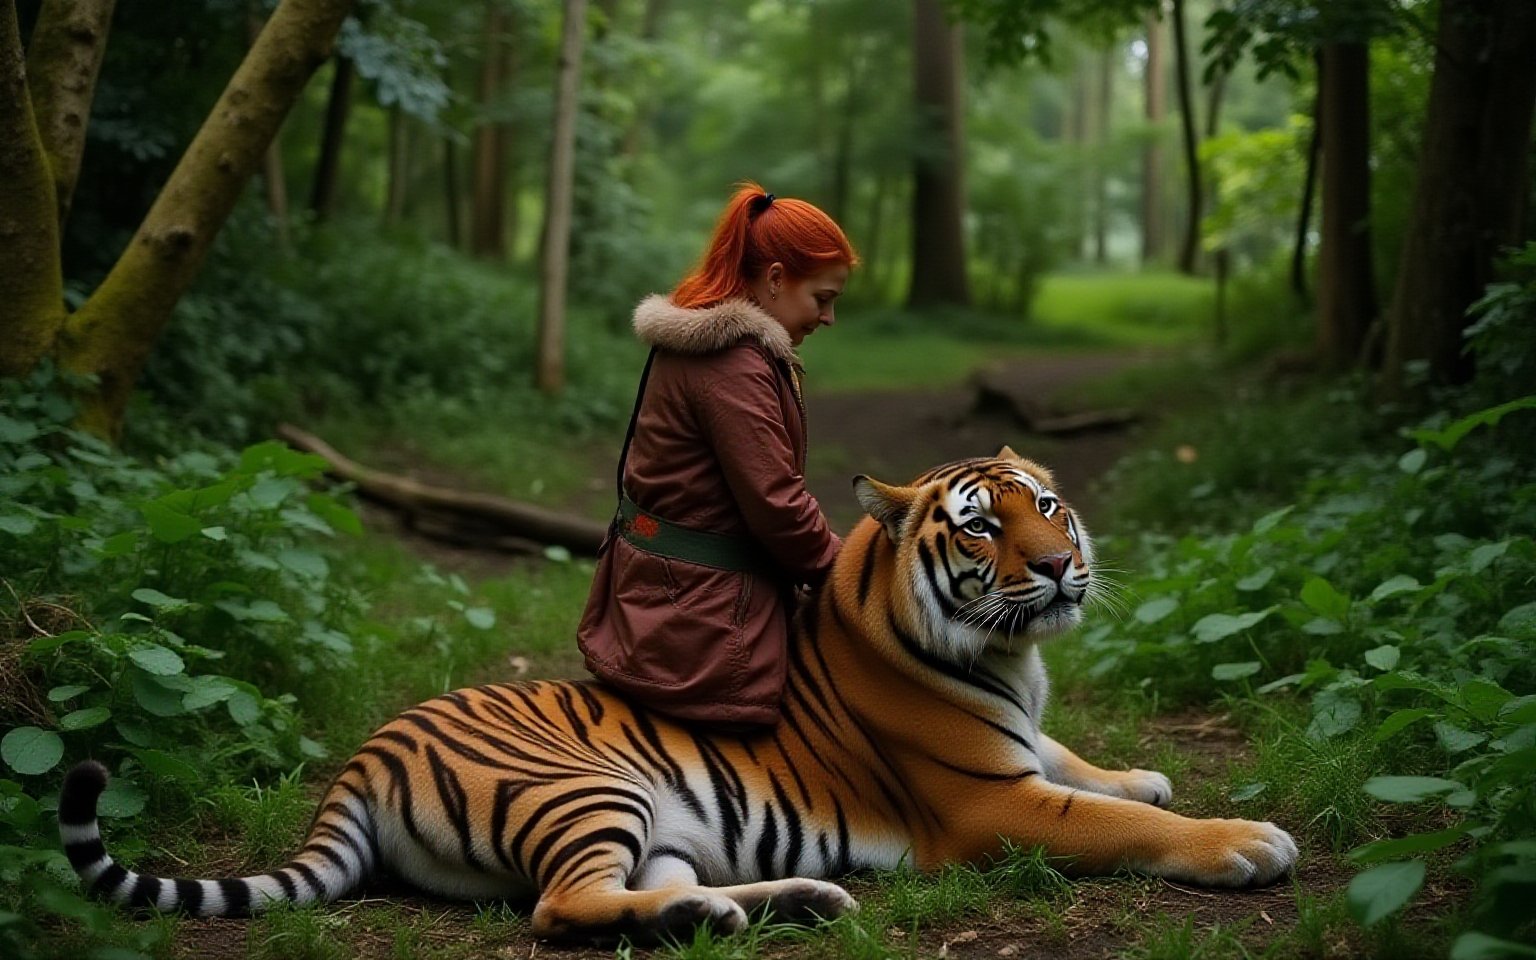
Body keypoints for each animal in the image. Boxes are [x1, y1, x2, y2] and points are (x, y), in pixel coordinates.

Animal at [62, 448, 1296, 933]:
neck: (1008, 656)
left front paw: (1146, 768)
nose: (1060, 567)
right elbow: (1111, 820)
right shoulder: (991, 805)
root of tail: (360, 758)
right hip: (587, 787)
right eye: (983, 527)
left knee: (642, 891)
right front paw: (1242, 840)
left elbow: (1086, 764)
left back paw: (782, 902)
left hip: (653, 827)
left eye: (1046, 505)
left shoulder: (1031, 748)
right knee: (561, 909)